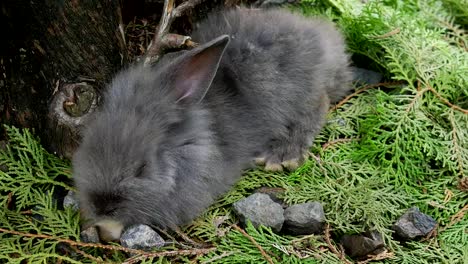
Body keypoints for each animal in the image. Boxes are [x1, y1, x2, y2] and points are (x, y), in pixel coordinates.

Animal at [73, 7, 352, 241]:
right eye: (87, 146)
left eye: (141, 169)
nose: (101, 204)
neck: (187, 145)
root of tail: (325, 38)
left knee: (318, 105)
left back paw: (282, 155)